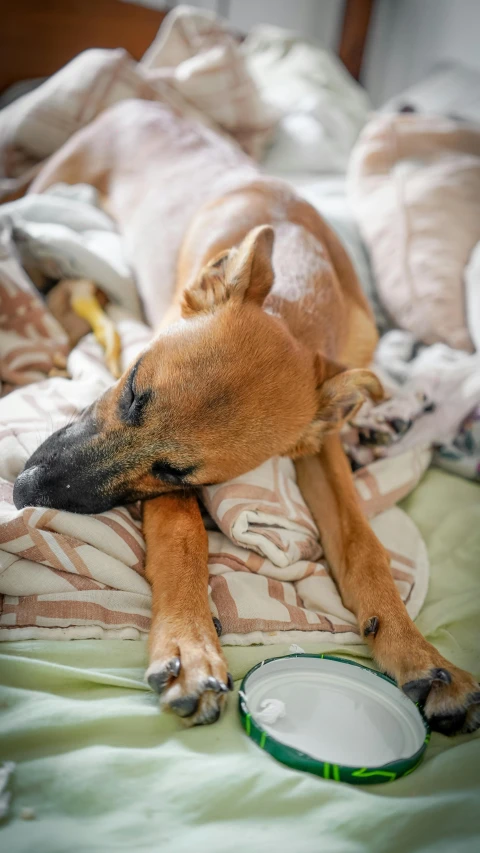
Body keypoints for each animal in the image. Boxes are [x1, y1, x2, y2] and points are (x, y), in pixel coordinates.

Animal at [13, 98, 478, 724]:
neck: (296, 305)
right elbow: (185, 536)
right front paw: (190, 646)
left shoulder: (319, 447)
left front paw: (419, 654)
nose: (24, 490)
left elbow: (364, 547)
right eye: (133, 388)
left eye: (174, 471)